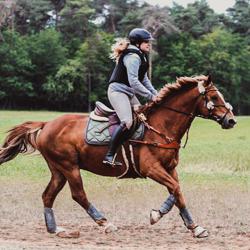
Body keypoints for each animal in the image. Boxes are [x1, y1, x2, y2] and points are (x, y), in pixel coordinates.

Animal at [0, 74, 236, 238]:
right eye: (214, 97)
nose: (231, 120)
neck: (162, 126)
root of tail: (46, 123)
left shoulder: (170, 168)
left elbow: (177, 192)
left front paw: (193, 227)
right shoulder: (152, 169)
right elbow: (175, 189)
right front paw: (159, 216)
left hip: (58, 169)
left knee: (48, 196)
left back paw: (56, 229)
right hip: (69, 166)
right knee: (79, 195)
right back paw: (106, 223)